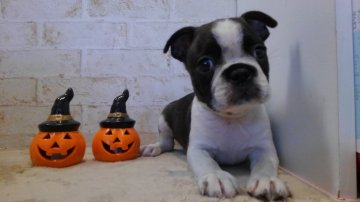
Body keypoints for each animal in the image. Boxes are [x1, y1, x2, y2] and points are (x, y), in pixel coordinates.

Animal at [141, 11, 292, 202]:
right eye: (205, 64)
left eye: (259, 51)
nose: (240, 72)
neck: (232, 117)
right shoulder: (199, 149)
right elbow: (208, 163)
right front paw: (217, 177)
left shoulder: (263, 148)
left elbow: (266, 163)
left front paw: (267, 180)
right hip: (164, 118)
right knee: (166, 142)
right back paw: (154, 147)